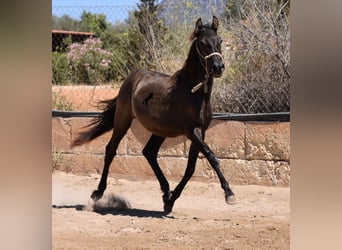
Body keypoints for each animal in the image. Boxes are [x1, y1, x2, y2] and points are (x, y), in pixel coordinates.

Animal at [73, 16, 235, 213]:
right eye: (202, 43)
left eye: (219, 41)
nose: (218, 67)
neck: (192, 92)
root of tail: (133, 77)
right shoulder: (192, 131)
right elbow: (211, 157)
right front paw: (229, 194)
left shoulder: (201, 132)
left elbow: (190, 168)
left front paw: (171, 201)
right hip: (123, 120)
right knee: (111, 150)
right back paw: (98, 192)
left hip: (160, 130)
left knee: (149, 152)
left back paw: (166, 192)